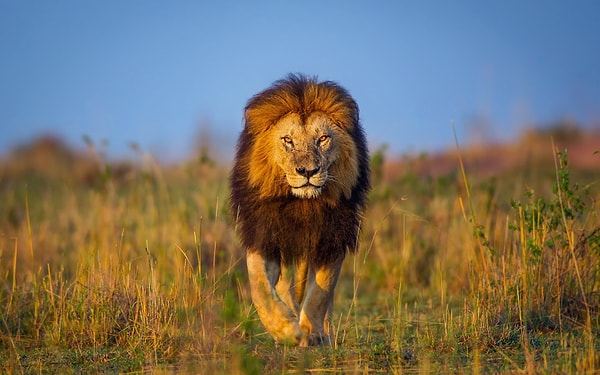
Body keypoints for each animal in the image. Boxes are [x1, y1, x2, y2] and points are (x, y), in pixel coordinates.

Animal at [231, 73, 368, 346]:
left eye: (323, 139)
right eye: (288, 140)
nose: (308, 171)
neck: (302, 204)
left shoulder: (332, 238)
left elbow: (320, 293)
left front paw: (312, 333)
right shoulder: (265, 236)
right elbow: (260, 287)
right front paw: (285, 329)